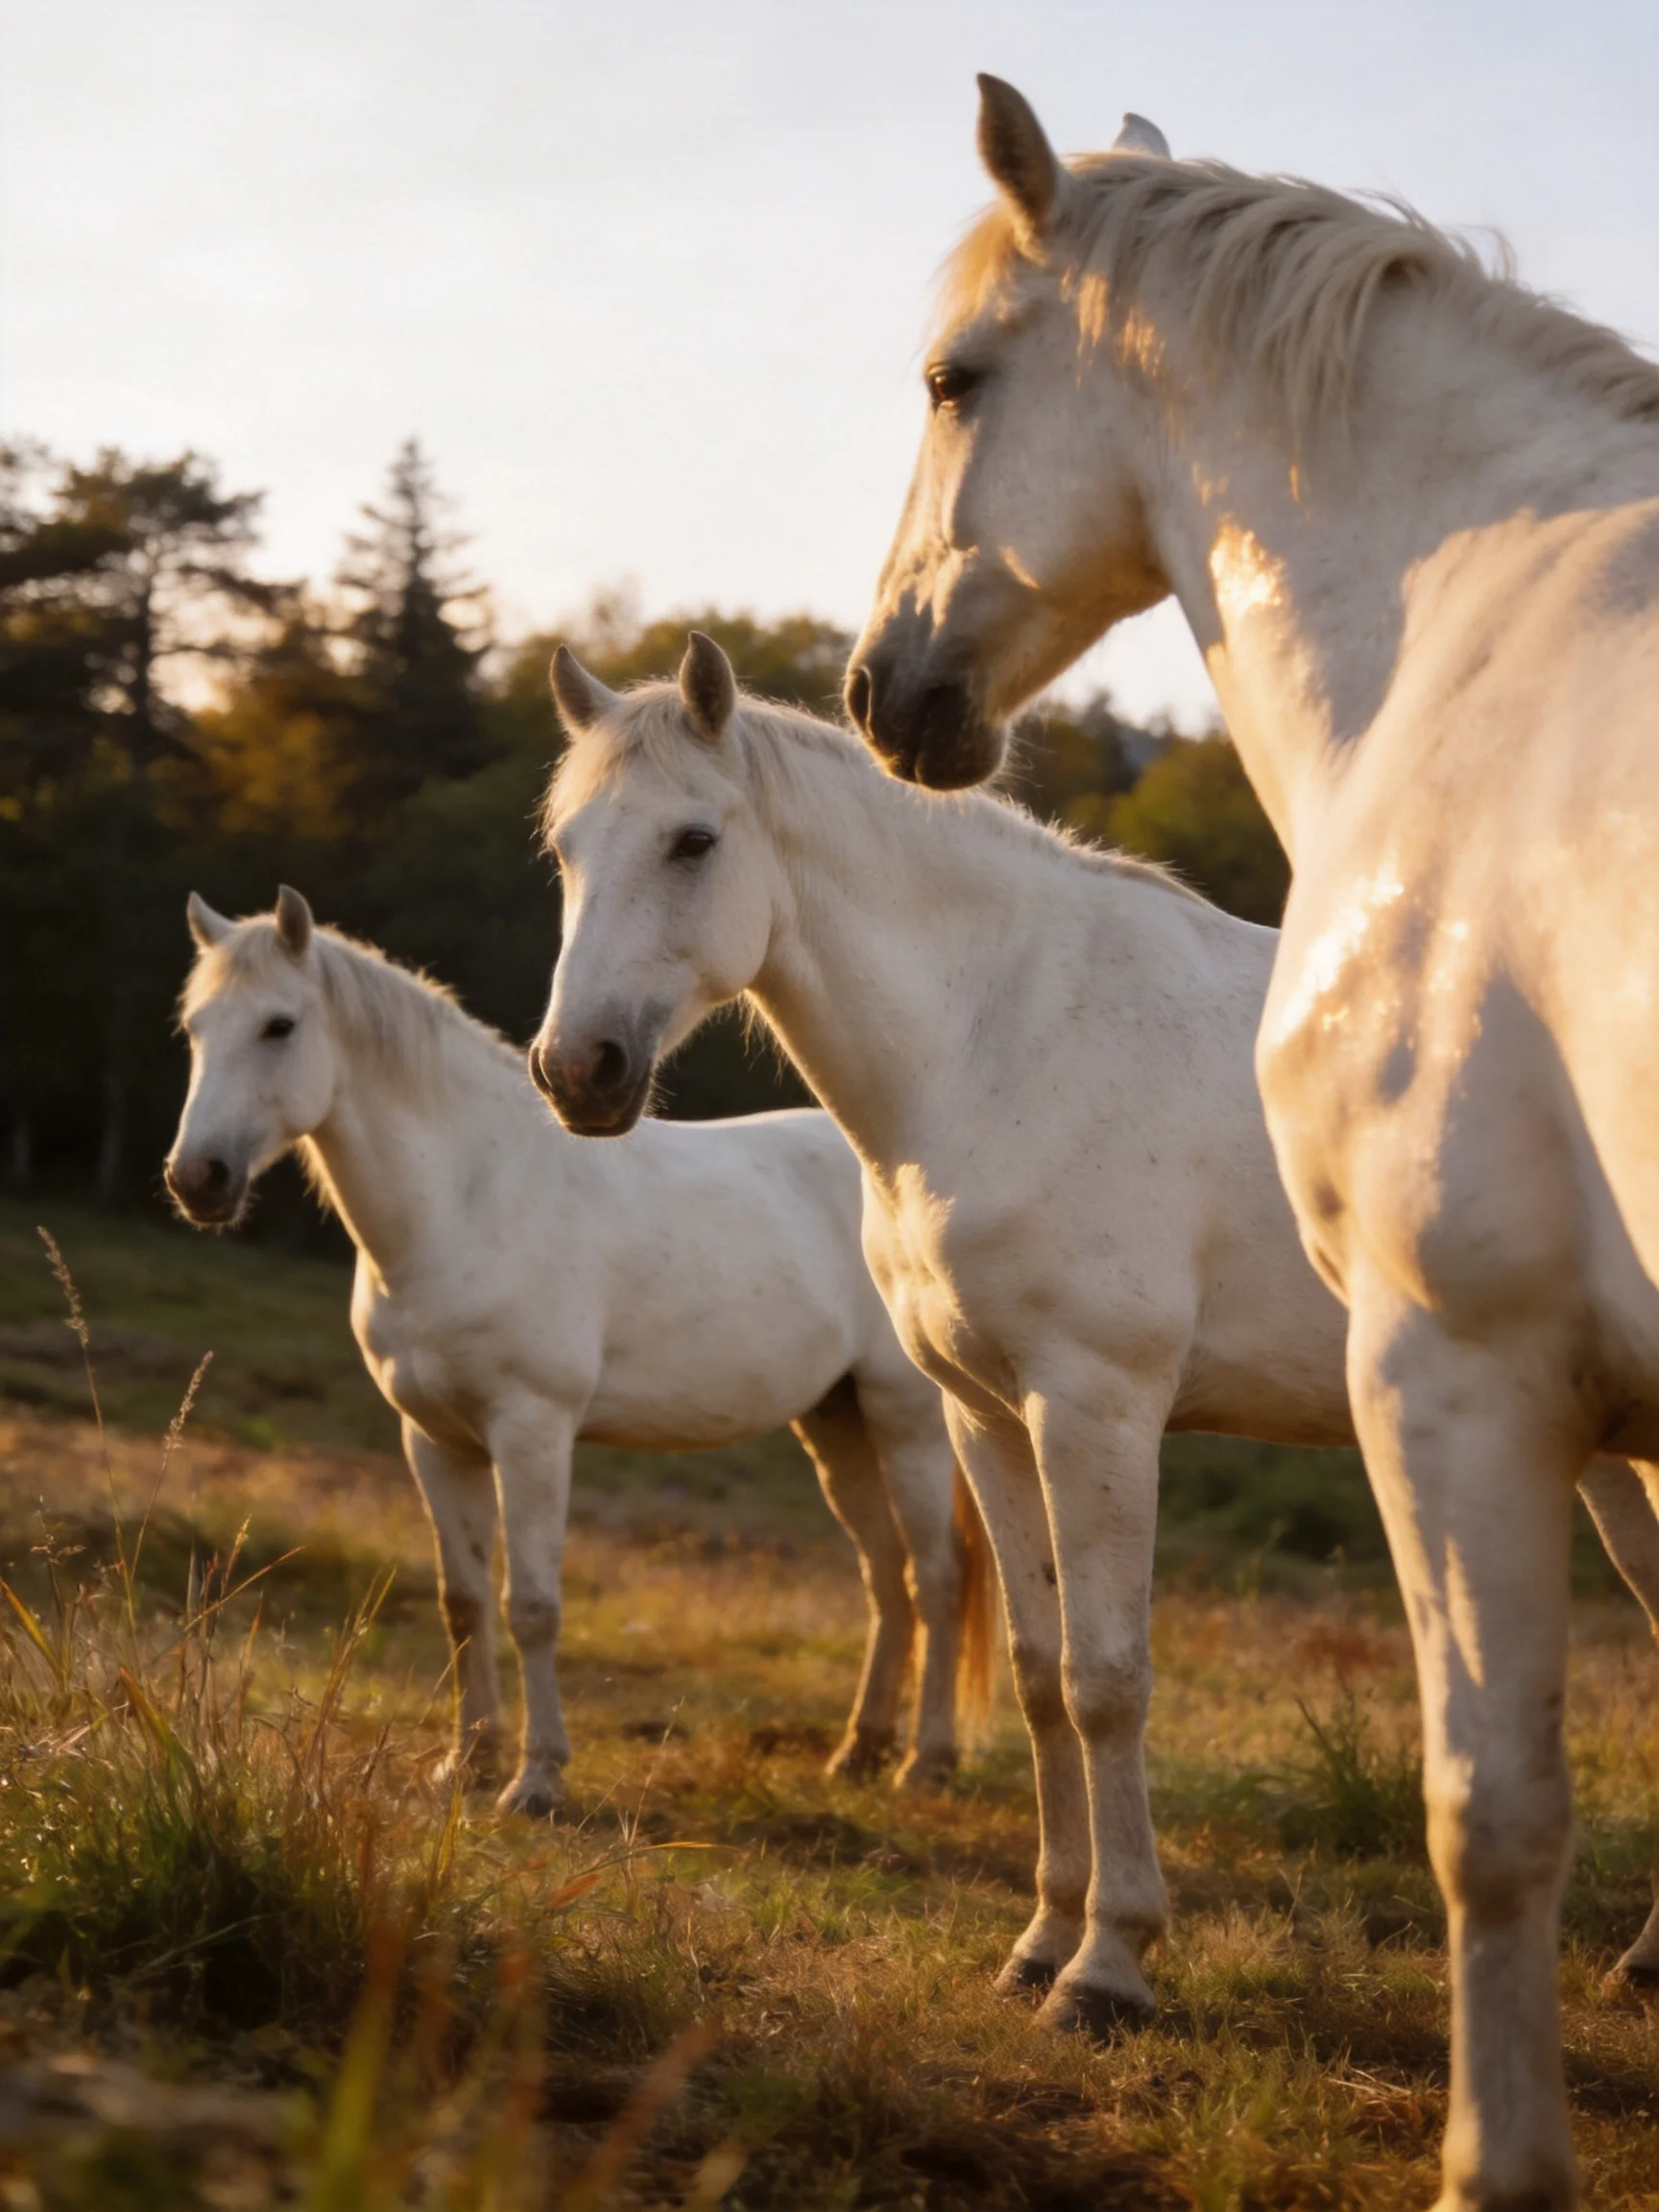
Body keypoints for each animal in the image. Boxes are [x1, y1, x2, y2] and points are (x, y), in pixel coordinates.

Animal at [165, 888, 994, 1816]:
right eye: (195, 1027)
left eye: (279, 1025)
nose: (197, 1179)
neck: (466, 1198)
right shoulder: (435, 1440)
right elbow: (463, 1602)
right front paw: (468, 1760)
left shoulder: (533, 1431)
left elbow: (531, 1604)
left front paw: (536, 1779)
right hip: (834, 1419)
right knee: (885, 1575)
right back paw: (859, 1751)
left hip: (906, 1418)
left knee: (936, 1575)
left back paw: (926, 1760)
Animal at [527, 630, 1659, 2038]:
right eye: (568, 848)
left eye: (691, 840)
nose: (577, 1072)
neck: (997, 1040)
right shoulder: (987, 1416)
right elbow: (1037, 1670)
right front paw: (1038, 1941)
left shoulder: (1098, 1410)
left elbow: (1107, 1679)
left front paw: (1108, 1968)